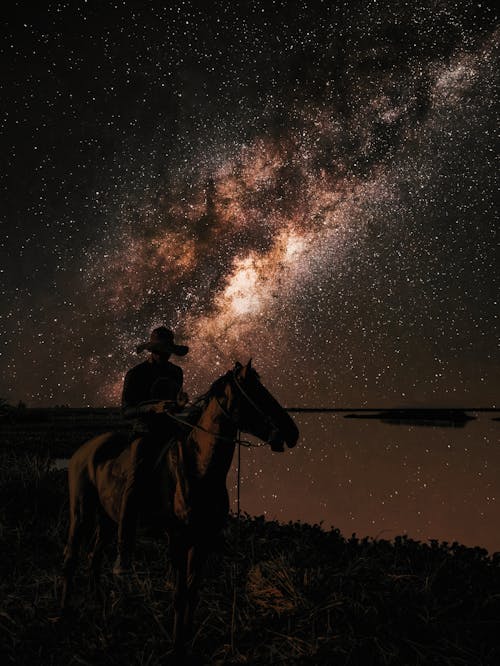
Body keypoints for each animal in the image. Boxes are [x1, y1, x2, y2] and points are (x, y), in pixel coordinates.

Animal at [60, 358, 298, 652]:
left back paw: (101, 608)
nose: (293, 433)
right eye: (256, 394)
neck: (199, 468)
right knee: (71, 559)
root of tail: (83, 451)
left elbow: (193, 592)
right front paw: (176, 645)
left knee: (94, 559)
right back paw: (63, 616)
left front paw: (188, 639)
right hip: (80, 513)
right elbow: (179, 593)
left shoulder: (203, 538)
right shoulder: (177, 538)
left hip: (107, 520)